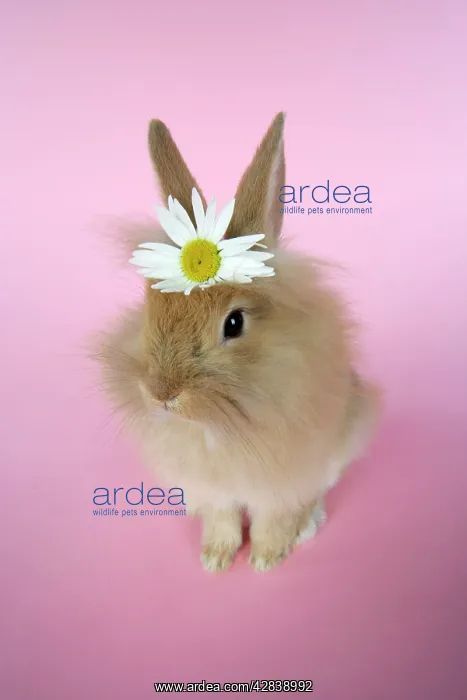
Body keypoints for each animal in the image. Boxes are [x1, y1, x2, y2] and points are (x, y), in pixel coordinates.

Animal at [96, 113, 380, 573]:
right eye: (150, 305)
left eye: (234, 323)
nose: (161, 395)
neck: (217, 426)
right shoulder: (213, 492)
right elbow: (222, 521)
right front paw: (214, 559)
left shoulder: (283, 482)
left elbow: (273, 521)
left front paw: (266, 560)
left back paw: (307, 528)